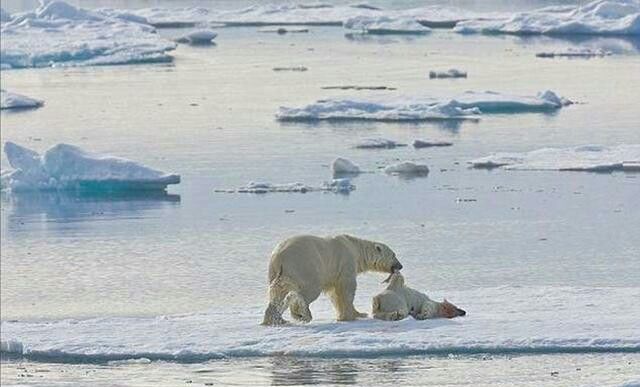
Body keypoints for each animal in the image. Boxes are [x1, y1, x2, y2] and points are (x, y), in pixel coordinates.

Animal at [258, 235, 400, 326]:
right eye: (394, 255)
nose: (400, 266)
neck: (354, 248)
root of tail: (279, 257)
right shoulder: (346, 263)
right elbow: (347, 289)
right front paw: (357, 314)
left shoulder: (333, 273)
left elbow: (334, 294)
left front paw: (345, 316)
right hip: (304, 267)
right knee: (307, 291)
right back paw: (303, 314)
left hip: (275, 273)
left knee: (278, 293)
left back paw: (276, 320)